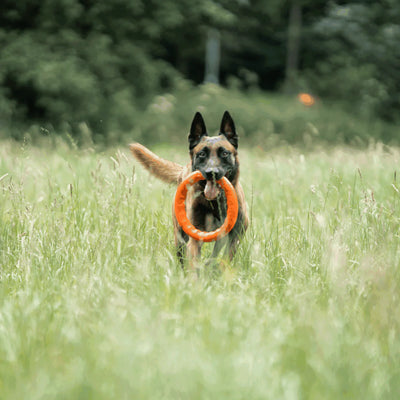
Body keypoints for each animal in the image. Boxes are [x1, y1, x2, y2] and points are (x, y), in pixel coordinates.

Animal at [129, 110, 247, 266]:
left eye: (224, 153)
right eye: (202, 154)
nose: (212, 173)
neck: (215, 203)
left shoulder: (236, 236)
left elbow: (225, 258)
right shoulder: (195, 236)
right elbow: (194, 260)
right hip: (179, 236)